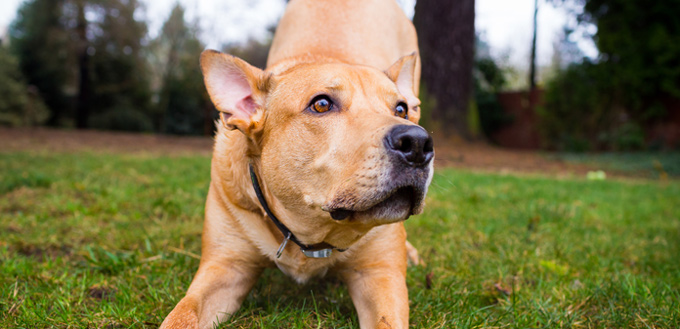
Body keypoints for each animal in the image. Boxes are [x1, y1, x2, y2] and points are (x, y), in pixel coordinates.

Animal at [161, 0, 436, 328]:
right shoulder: (225, 266)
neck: (311, 232)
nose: (418, 143)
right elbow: (182, 315)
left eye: (401, 109)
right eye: (321, 104)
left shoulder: (379, 274)